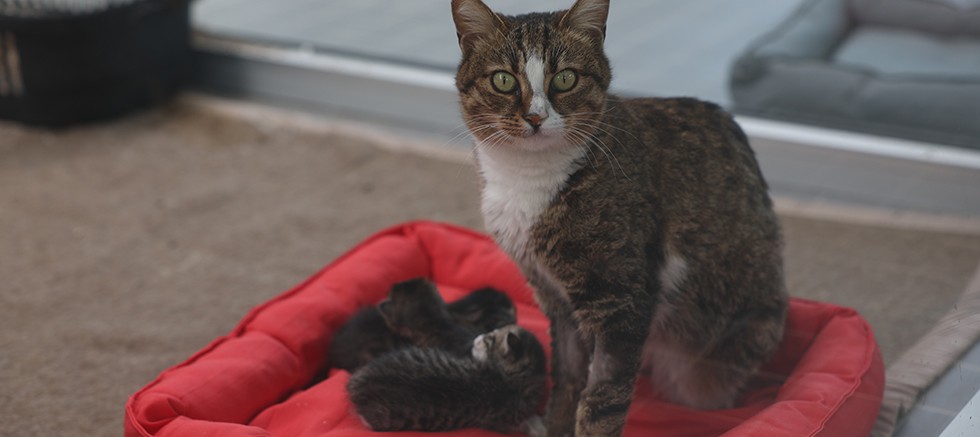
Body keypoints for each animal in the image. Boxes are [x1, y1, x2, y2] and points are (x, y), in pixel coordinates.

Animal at [347, 324, 547, 433]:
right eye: (490, 334)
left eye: (489, 340)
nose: (477, 337)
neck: (510, 380)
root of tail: (356, 383)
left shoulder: (502, 422)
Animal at [450, 1, 788, 436]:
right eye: (504, 80)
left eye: (565, 77)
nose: (536, 117)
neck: (529, 180)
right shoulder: (553, 295)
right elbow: (567, 374)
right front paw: (555, 424)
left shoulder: (620, 301)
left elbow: (603, 398)